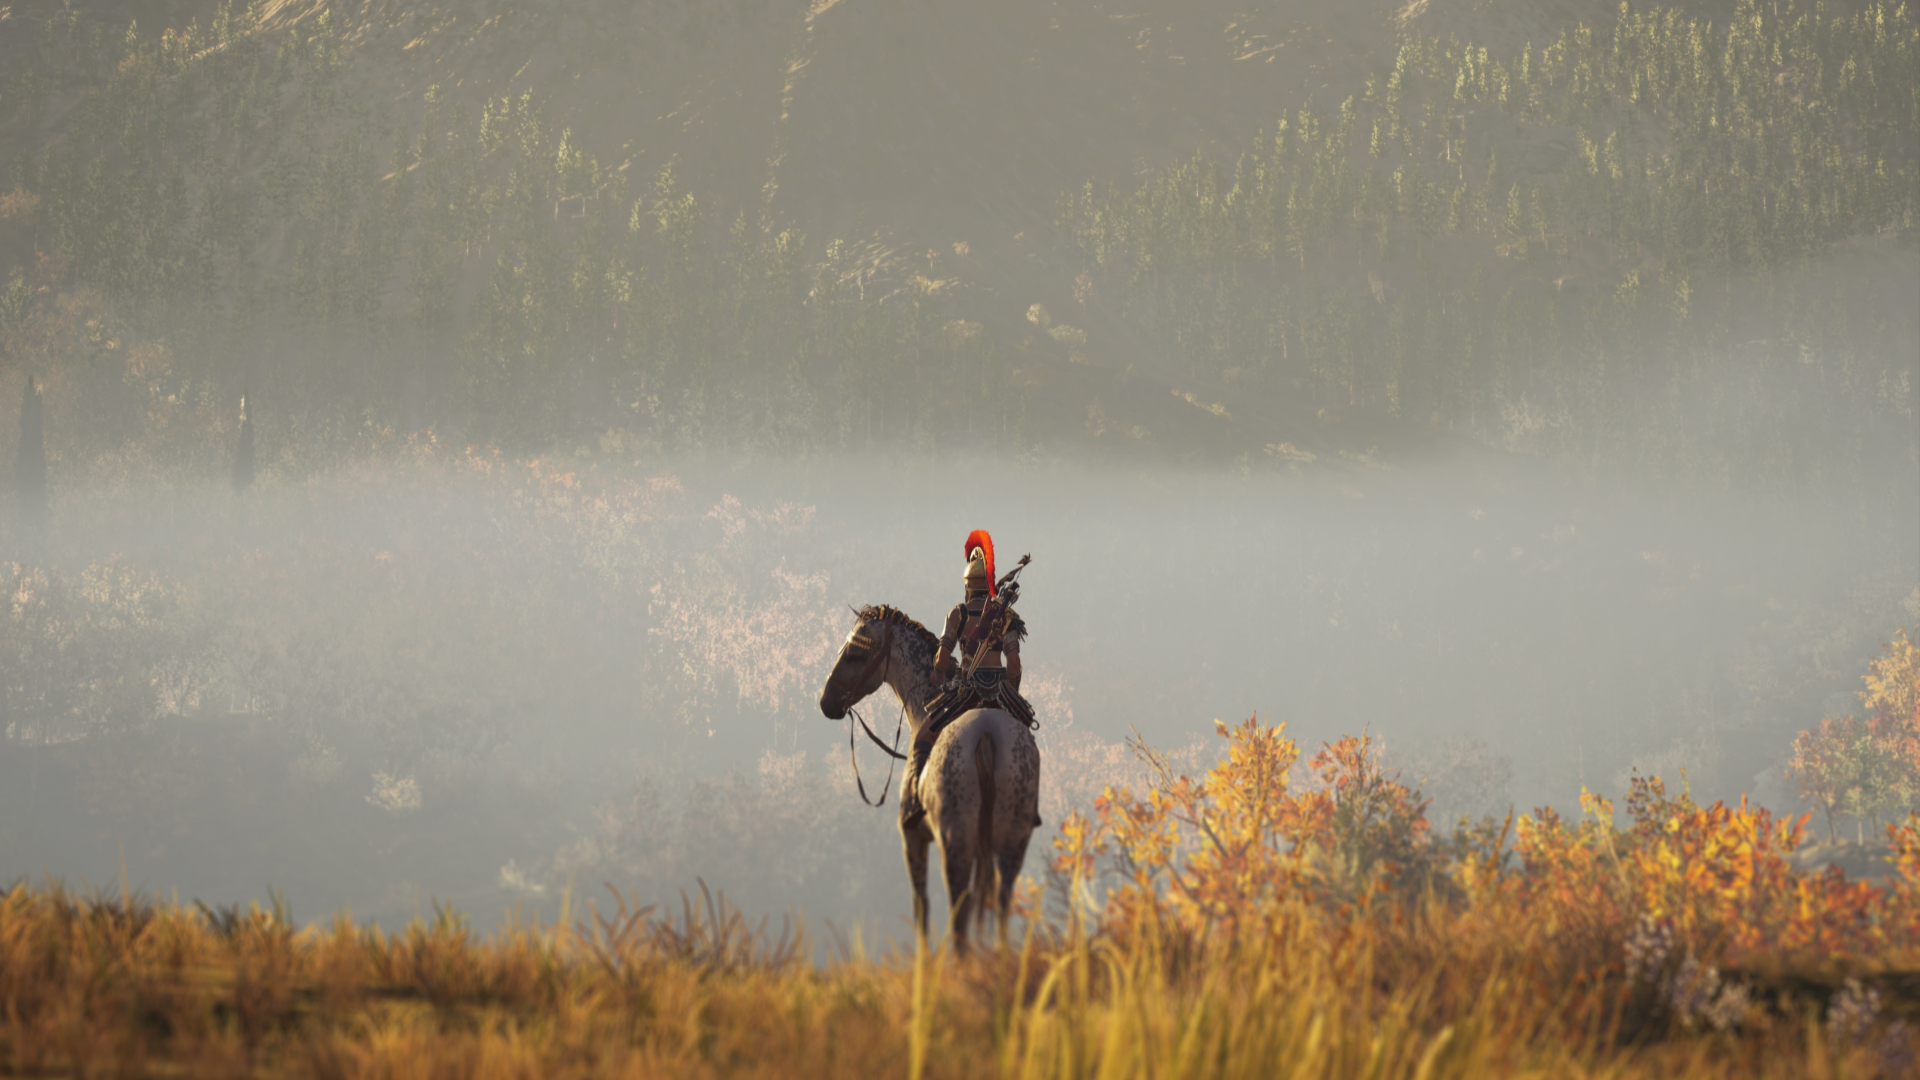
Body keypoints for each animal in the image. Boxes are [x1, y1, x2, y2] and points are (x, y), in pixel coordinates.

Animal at [817, 607, 1044, 949]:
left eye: (855, 653)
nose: (826, 701)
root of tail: (987, 731)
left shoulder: (913, 839)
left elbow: (921, 905)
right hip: (1012, 842)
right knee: (1001, 903)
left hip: (954, 842)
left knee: (959, 908)